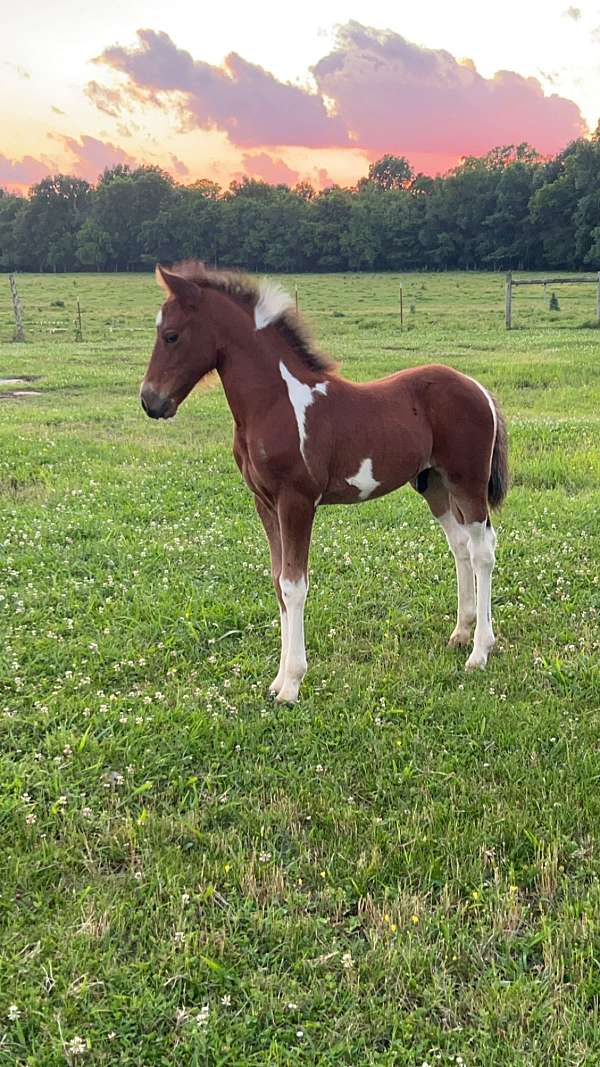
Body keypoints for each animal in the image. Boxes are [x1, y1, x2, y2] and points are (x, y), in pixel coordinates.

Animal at [139, 262, 503, 704]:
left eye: (171, 335)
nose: (150, 401)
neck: (275, 403)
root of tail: (478, 388)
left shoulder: (296, 502)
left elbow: (294, 584)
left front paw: (292, 684)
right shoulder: (265, 504)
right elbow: (277, 581)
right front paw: (277, 680)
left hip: (468, 481)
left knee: (483, 551)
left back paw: (480, 652)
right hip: (434, 484)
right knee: (461, 545)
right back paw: (461, 632)